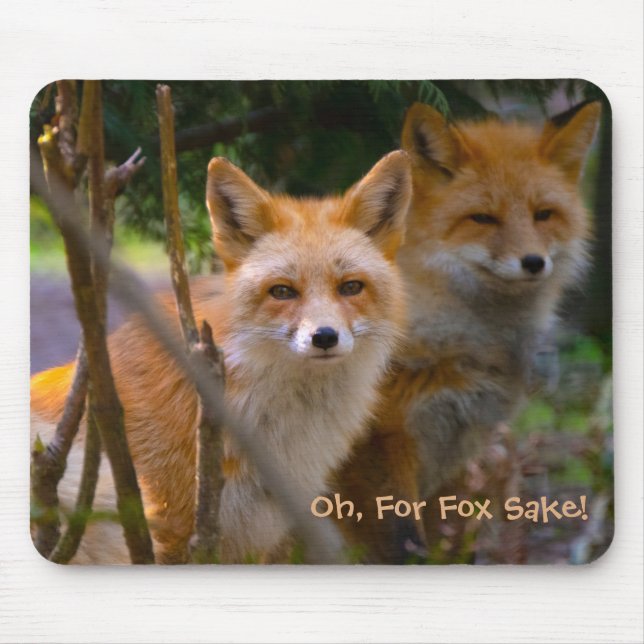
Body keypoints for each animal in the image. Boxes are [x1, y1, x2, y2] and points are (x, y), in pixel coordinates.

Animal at [336, 100, 602, 563]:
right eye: (483, 218)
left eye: (543, 215)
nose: (534, 262)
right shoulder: (375, 445)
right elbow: (404, 545)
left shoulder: (460, 446)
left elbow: (451, 543)